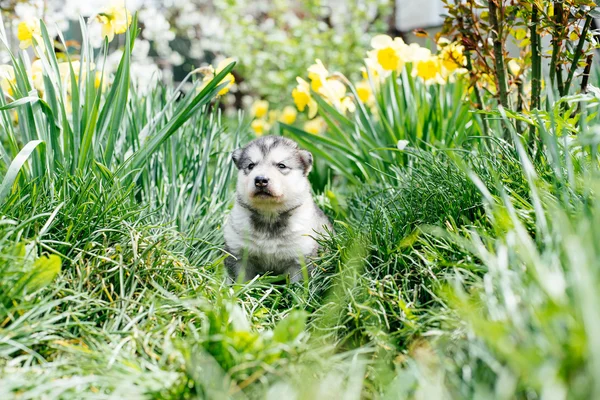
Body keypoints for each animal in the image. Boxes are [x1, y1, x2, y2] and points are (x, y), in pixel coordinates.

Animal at [223, 136, 330, 282]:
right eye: (251, 165)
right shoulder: (238, 253)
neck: (269, 214)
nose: (260, 180)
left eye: (281, 165)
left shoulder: (300, 258)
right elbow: (240, 280)